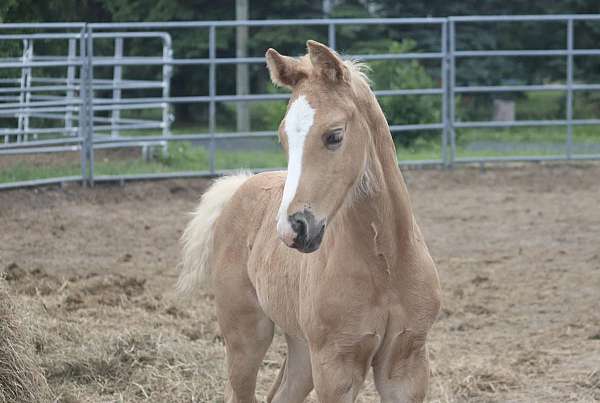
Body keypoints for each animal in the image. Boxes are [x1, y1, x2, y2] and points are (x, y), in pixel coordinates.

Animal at [178, 41, 440, 403]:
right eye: (283, 138)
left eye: (334, 136)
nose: (293, 229)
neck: (386, 264)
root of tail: (240, 186)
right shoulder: (335, 367)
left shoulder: (406, 363)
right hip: (246, 335)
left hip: (301, 348)